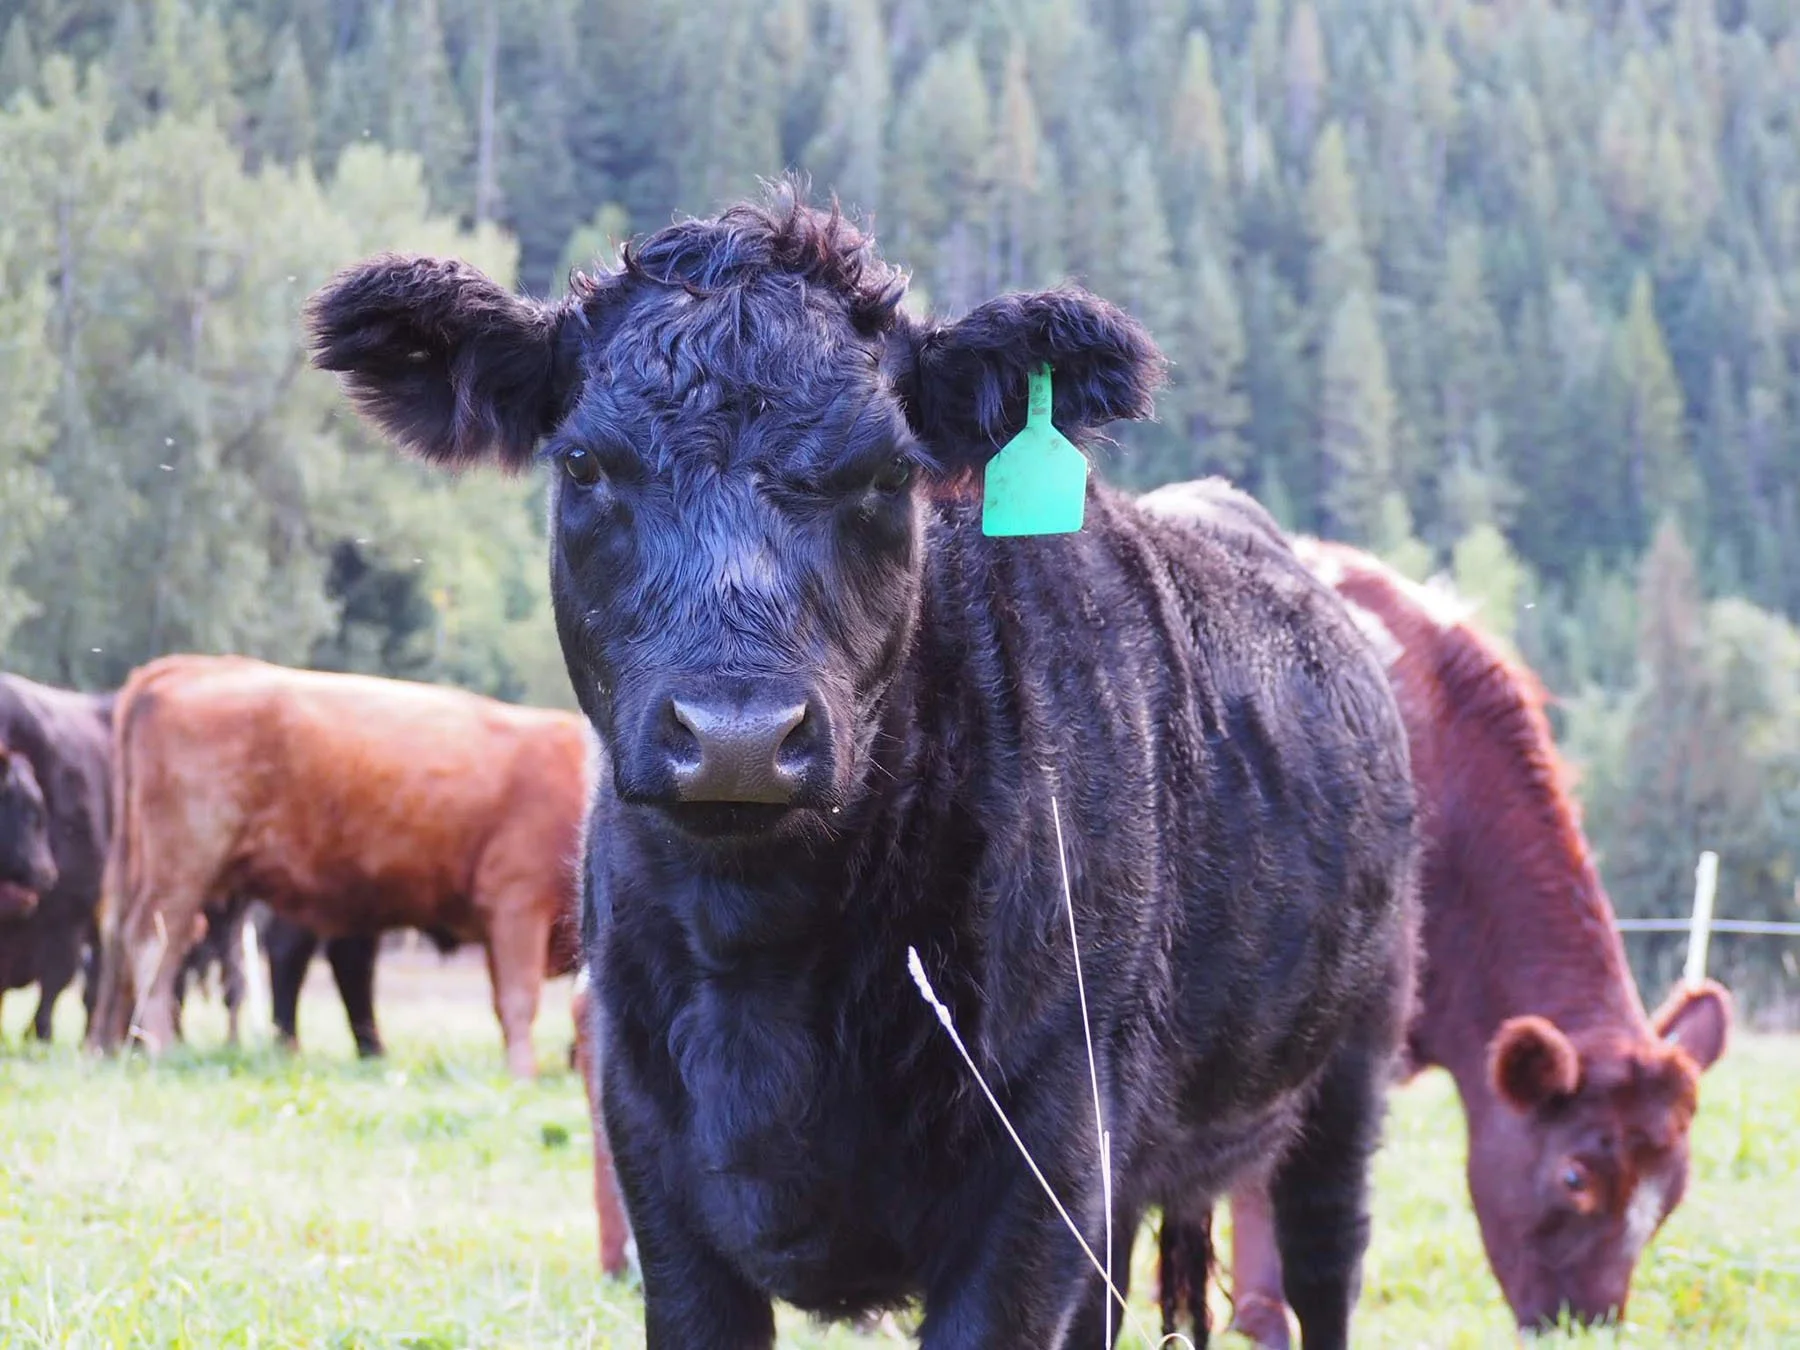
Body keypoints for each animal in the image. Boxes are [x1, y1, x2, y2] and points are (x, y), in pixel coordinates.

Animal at [87, 653, 586, 1078]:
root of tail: (185, 667)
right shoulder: (517, 906)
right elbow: (518, 999)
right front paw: (523, 1072)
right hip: (182, 871)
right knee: (154, 945)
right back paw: (160, 1047)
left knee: (119, 940)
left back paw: (109, 1045)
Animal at [308, 185, 1421, 1350]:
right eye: (583, 465)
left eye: (889, 471)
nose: (739, 731)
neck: (768, 956)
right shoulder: (653, 1156)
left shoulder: (1046, 1160)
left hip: (1346, 1075)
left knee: (1326, 1262)